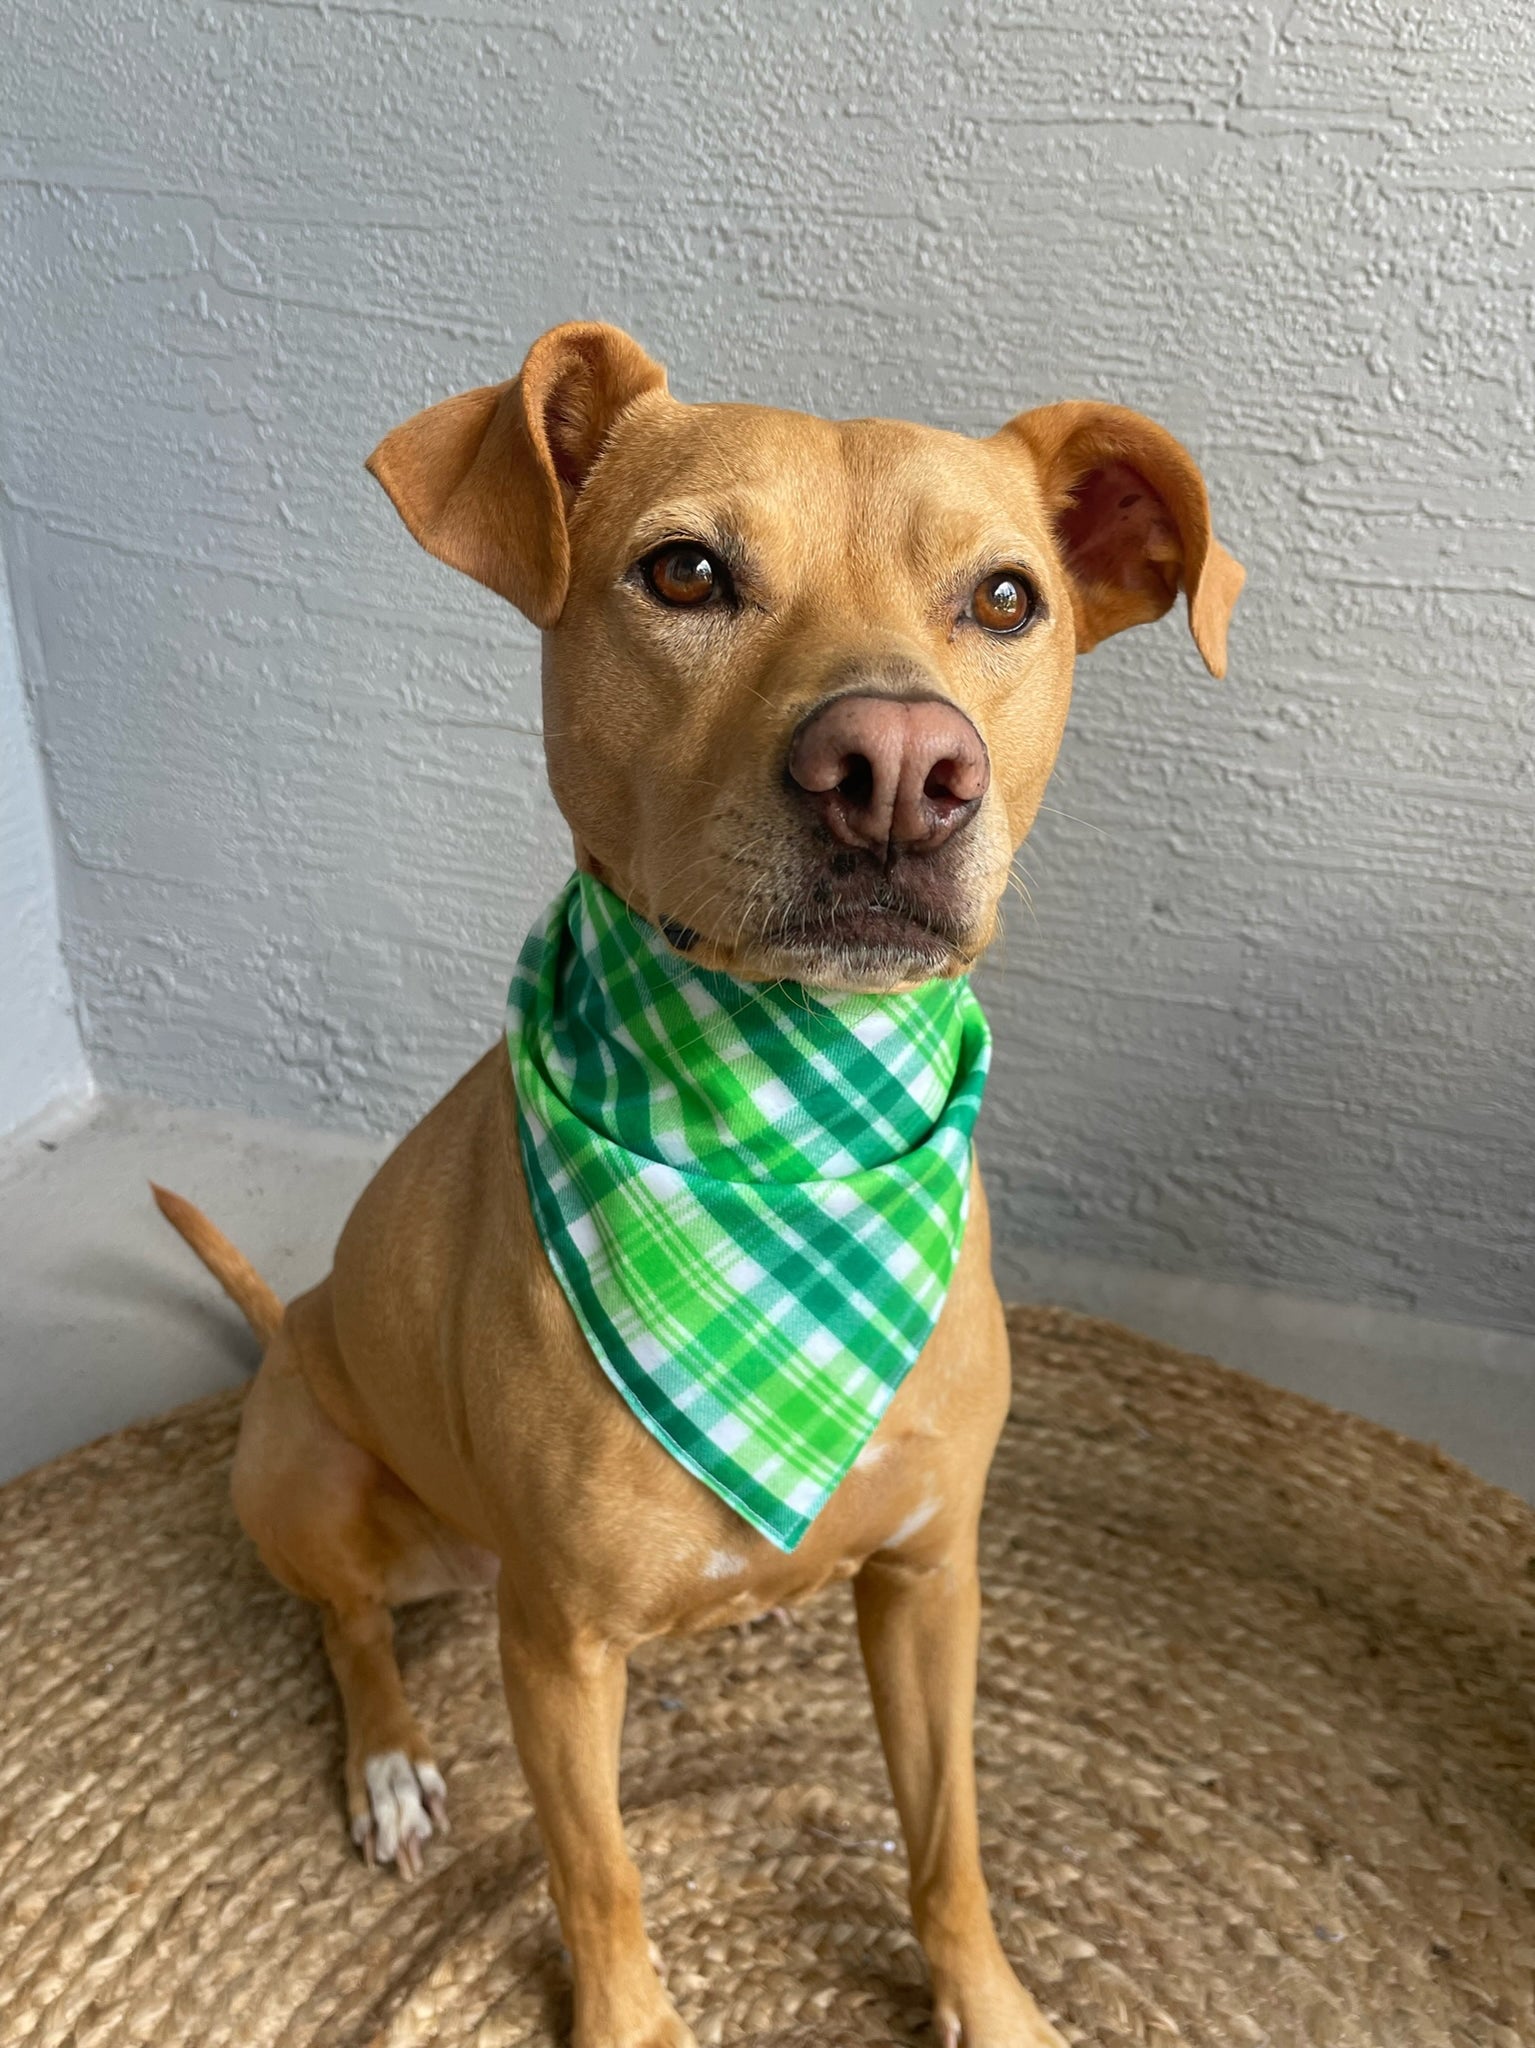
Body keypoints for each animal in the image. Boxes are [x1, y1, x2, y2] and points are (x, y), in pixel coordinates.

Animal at [156, 319, 1244, 2048]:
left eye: (1005, 598)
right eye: (683, 573)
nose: (897, 768)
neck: (786, 1142)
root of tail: (282, 1332)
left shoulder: (930, 1584)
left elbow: (948, 1841)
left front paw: (988, 2002)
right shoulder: (558, 1652)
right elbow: (598, 1878)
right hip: (309, 1477)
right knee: (348, 1631)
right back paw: (388, 1766)